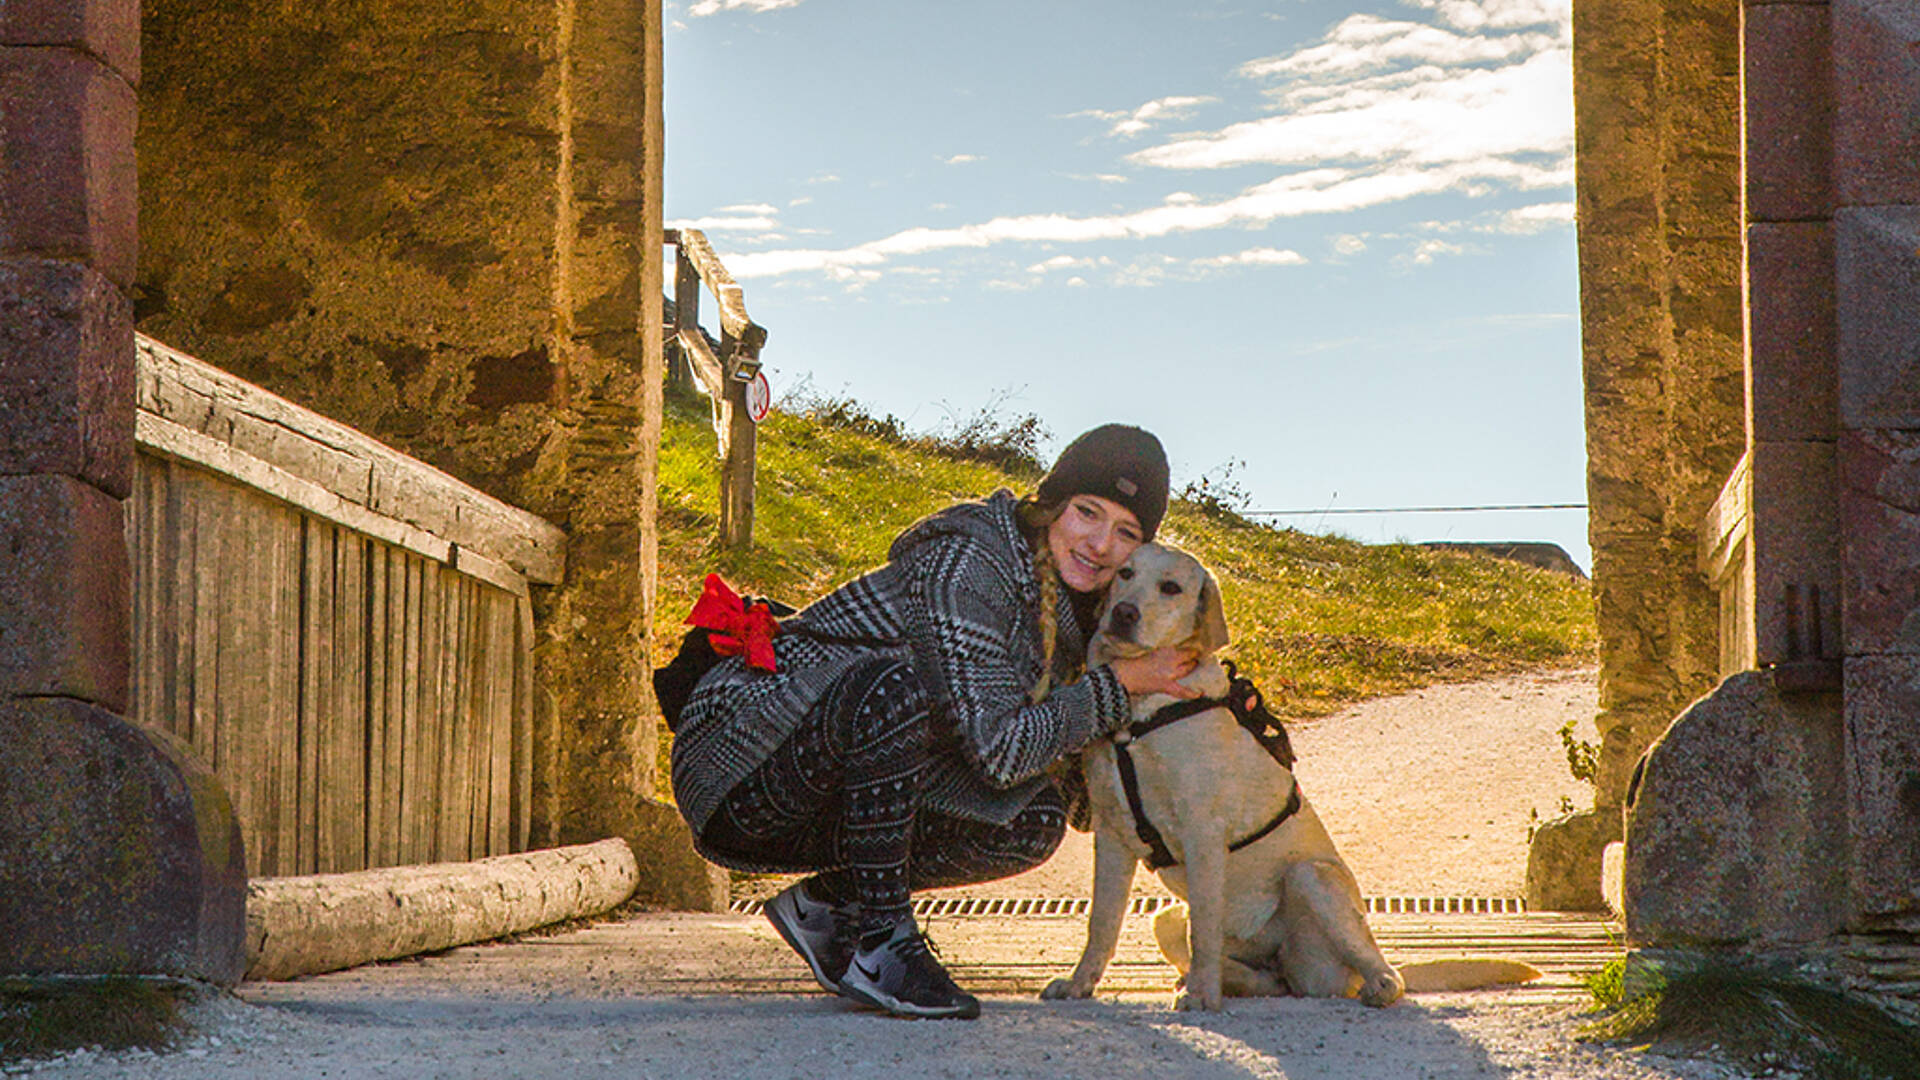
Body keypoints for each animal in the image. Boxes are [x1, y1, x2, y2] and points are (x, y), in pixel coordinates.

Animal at [1044, 541, 1536, 1006]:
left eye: (1171, 588)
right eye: (1125, 573)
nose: (1123, 613)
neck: (1143, 714)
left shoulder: (1202, 830)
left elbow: (1203, 926)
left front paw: (1202, 996)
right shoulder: (1112, 835)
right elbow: (1101, 924)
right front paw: (1079, 984)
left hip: (1311, 878)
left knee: (1382, 974)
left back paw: (1369, 986)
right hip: (1164, 917)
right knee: (1263, 978)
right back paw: (1226, 980)